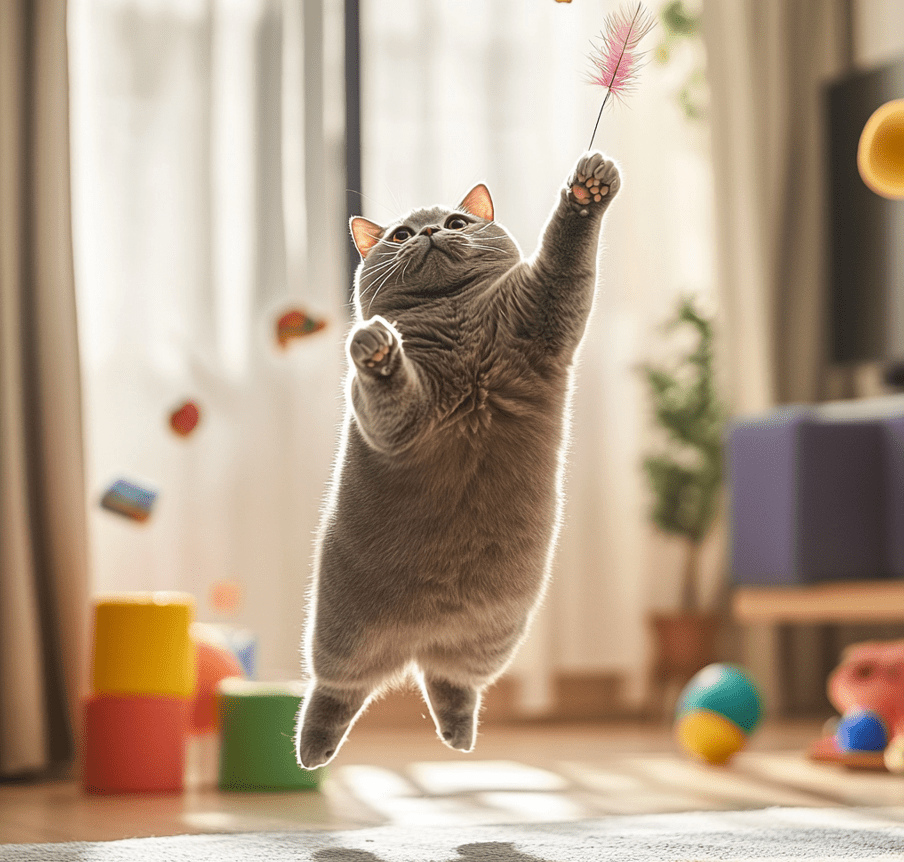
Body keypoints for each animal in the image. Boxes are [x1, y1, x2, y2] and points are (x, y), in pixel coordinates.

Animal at [296, 150, 620, 768]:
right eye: (400, 234)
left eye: (455, 222)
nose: (426, 232)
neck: (454, 315)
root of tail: (419, 641)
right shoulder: (395, 420)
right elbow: (388, 388)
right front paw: (375, 347)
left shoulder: (545, 305)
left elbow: (565, 254)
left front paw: (587, 189)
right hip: (342, 635)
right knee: (337, 689)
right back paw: (312, 752)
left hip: (494, 639)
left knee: (451, 683)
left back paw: (458, 738)